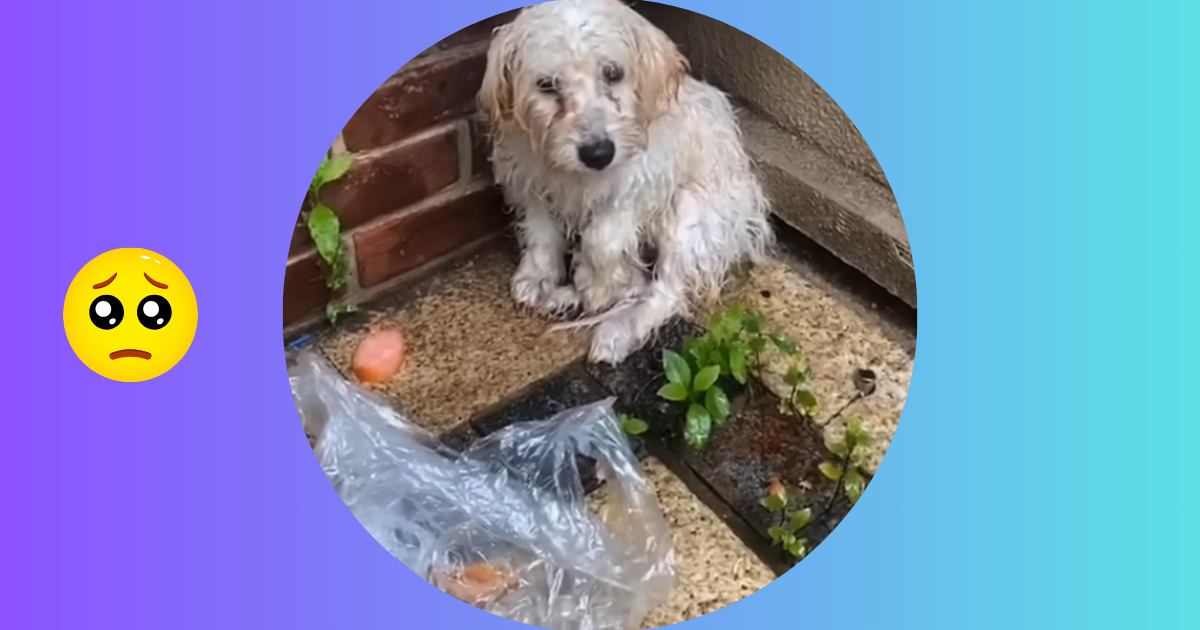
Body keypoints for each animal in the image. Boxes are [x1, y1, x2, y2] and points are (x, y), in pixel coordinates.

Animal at [475, 0, 768, 362]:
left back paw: (618, 326)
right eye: (547, 84)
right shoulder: (531, 180)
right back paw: (569, 296)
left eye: (613, 73)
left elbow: (602, 240)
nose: (598, 153)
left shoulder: (638, 184)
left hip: (692, 215)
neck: (579, 178)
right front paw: (539, 276)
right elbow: (541, 233)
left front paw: (599, 285)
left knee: (665, 292)